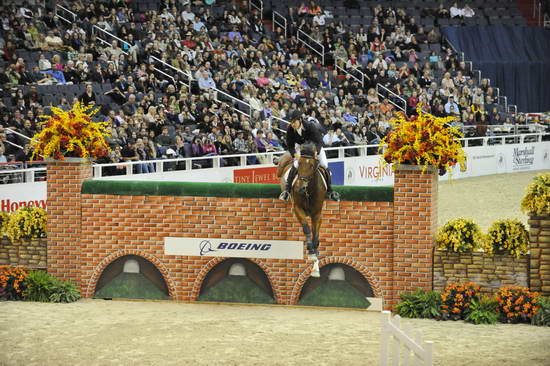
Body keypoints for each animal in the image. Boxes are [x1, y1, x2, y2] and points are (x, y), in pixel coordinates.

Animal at [278, 143, 330, 278]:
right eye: (299, 164)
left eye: (312, 166)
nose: (299, 188)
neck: (308, 190)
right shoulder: (297, 209)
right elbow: (306, 228)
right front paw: (311, 251)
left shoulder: (317, 214)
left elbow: (315, 234)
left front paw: (315, 263)